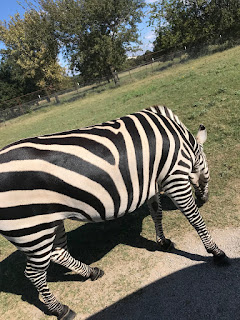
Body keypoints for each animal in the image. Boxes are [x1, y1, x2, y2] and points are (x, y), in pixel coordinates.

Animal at [0, 106, 229, 318]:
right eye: (207, 167)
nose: (205, 200)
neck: (184, 143)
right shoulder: (174, 177)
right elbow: (195, 219)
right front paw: (216, 252)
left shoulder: (152, 182)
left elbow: (156, 213)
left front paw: (163, 242)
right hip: (31, 228)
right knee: (34, 274)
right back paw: (61, 309)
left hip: (48, 224)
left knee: (59, 253)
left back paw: (91, 272)